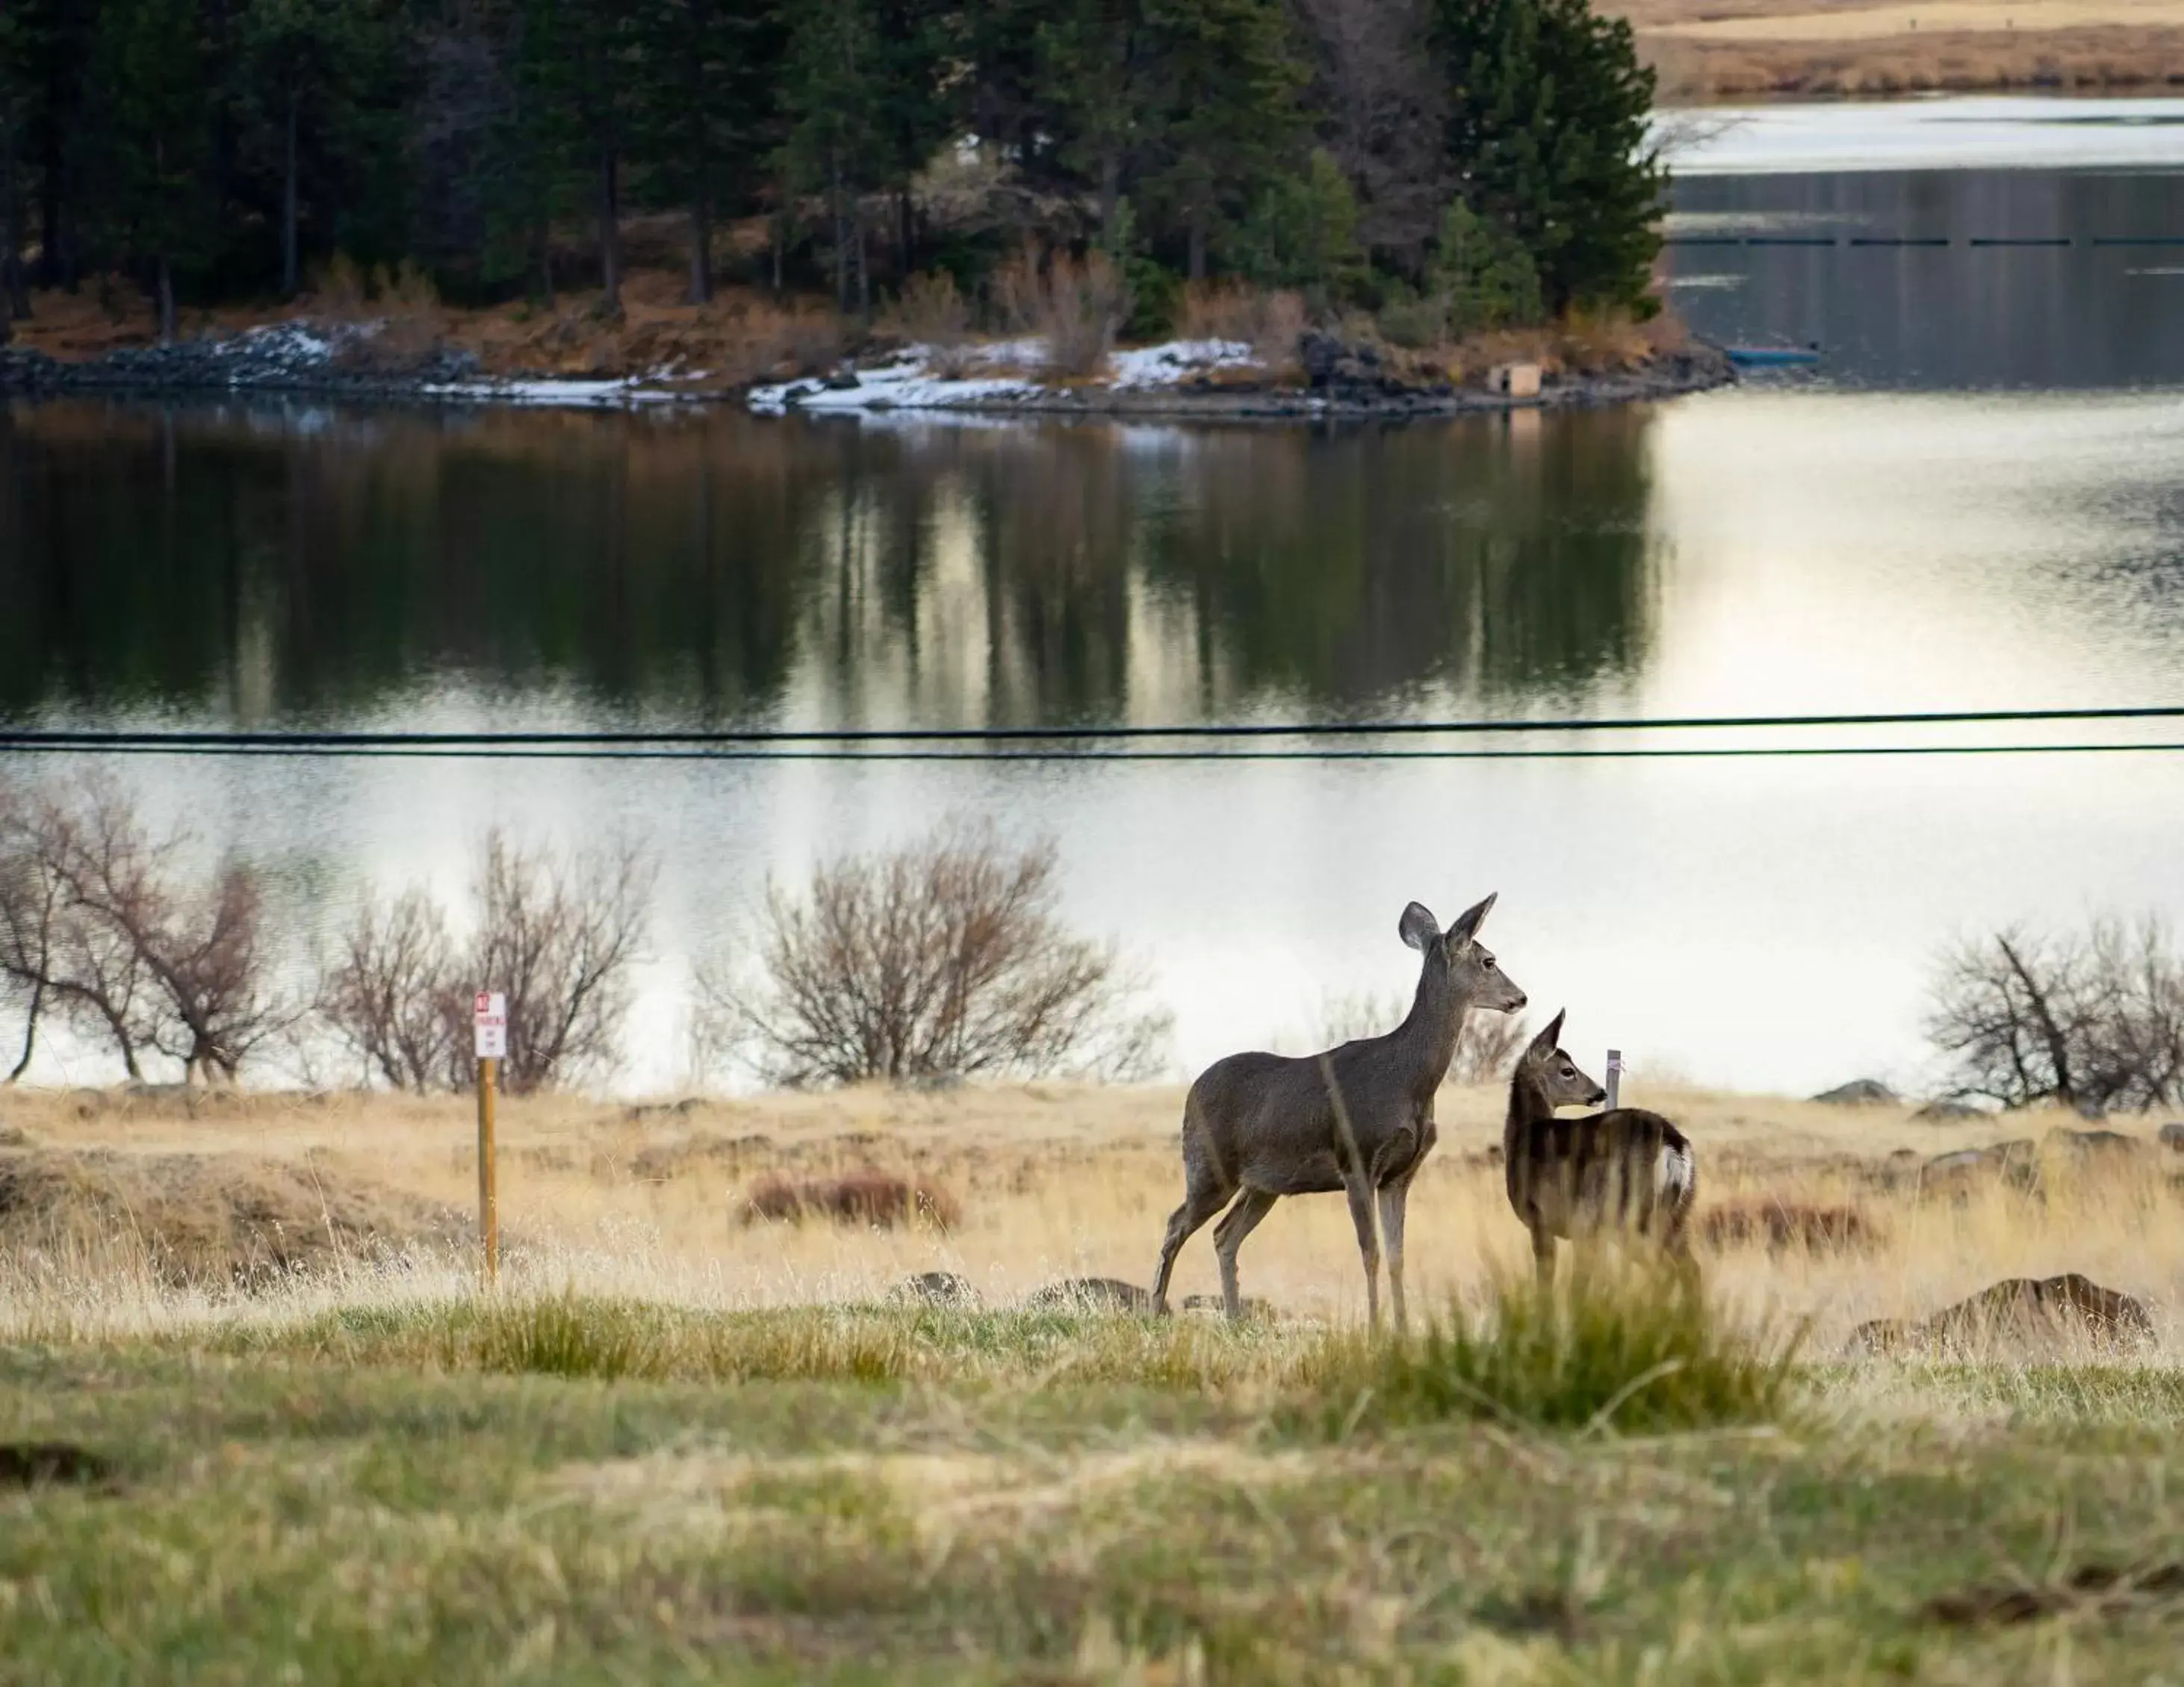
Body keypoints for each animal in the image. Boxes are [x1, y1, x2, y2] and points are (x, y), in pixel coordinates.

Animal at [1153, 895, 1528, 1326]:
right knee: (1176, 1224)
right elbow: (1371, 1253)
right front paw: (1376, 1328)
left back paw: (1234, 1320)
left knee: (1223, 1235)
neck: (1407, 1080)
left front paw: (1402, 1328)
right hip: (1209, 1167)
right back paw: (1153, 1312)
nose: (1521, 997)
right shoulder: (1357, 1160)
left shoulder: (1400, 1174)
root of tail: (1191, 1092)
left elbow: (1397, 1256)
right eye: (1489, 960)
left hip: (1263, 1184)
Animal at [1502, 1012, 1703, 1292]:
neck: (1523, 1134)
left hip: (1628, 1215)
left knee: (1665, 1271)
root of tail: (1674, 1143)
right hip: (1677, 1213)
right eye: (1568, 1070)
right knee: (1691, 1270)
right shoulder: (1586, 1232)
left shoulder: (1541, 1219)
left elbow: (1552, 1281)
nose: (1600, 1092)